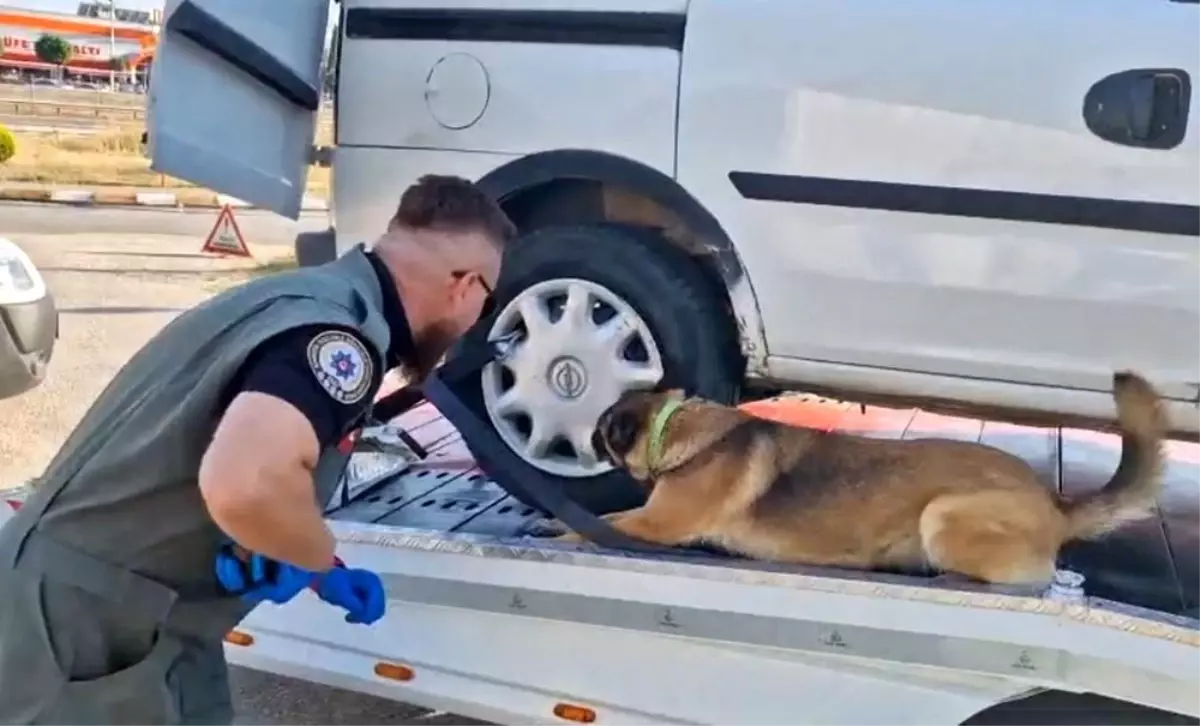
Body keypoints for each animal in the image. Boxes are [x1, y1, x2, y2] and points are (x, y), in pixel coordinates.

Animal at [542, 372, 1161, 585]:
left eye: (601, 431)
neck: (679, 428)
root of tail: (1054, 501)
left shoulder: (656, 524)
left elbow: (600, 521)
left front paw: (558, 527)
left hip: (944, 515)